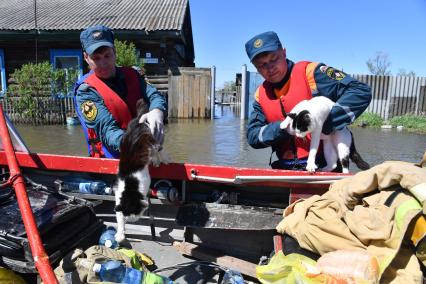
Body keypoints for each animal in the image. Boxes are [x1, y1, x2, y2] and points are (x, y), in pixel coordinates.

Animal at [114, 99, 169, 242]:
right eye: (130, 215)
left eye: (136, 214)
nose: (133, 220)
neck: (130, 186)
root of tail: (139, 120)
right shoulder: (118, 195)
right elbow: (119, 216)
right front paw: (120, 233)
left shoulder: (145, 181)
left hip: (152, 137)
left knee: (159, 147)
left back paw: (161, 159)